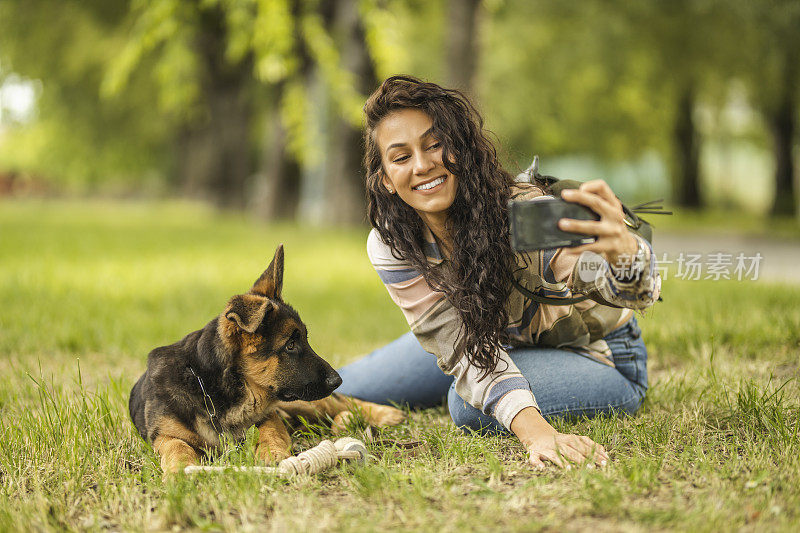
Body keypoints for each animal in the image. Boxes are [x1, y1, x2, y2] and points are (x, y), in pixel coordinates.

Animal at [132, 243, 410, 472]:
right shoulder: (164, 435)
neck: (215, 389)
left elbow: (270, 430)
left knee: (344, 402)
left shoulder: (270, 413)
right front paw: (180, 469)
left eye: (305, 339)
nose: (337, 380)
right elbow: (176, 446)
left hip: (300, 402)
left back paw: (383, 414)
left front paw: (271, 452)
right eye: (290, 345)